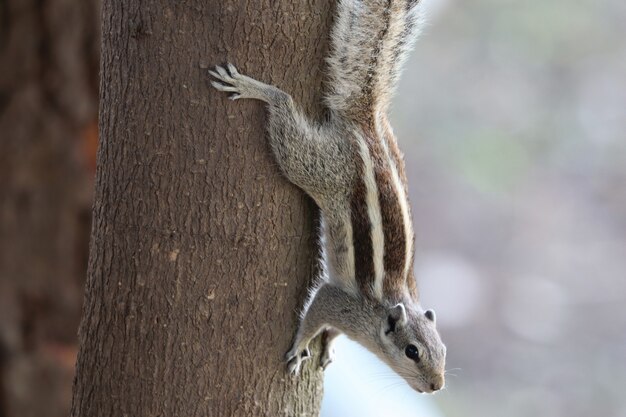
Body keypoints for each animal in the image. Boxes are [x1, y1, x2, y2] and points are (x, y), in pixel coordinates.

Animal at [210, 0, 444, 394]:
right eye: (412, 351)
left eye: (443, 350)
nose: (437, 385)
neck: (387, 309)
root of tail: (367, 123)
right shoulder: (337, 302)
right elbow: (315, 313)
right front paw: (300, 346)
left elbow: (331, 332)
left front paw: (330, 346)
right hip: (317, 167)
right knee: (285, 112)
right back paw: (256, 89)